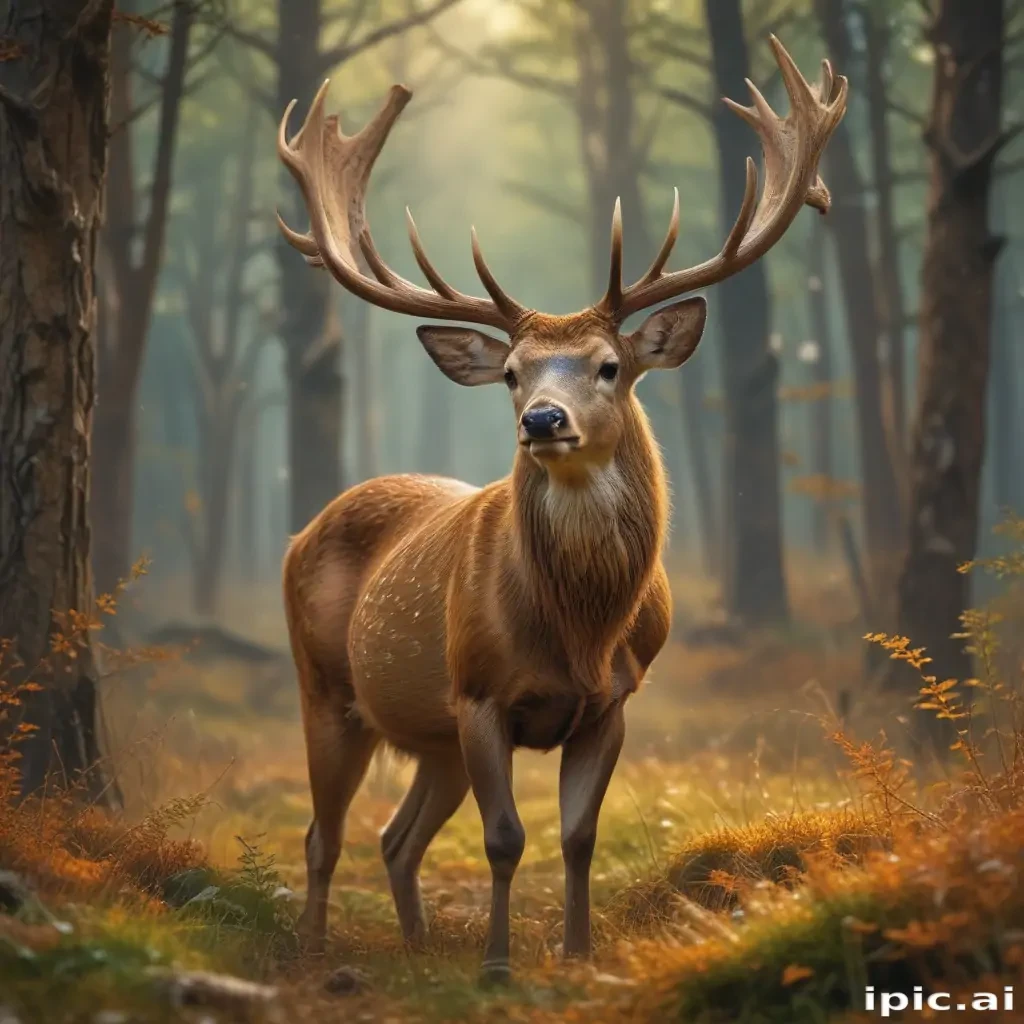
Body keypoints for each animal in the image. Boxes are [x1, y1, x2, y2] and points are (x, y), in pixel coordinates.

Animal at [276, 36, 847, 983]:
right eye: (512, 374)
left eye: (609, 365)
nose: (544, 420)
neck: (579, 628)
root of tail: (298, 533)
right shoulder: (478, 692)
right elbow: (507, 840)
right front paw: (498, 965)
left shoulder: (612, 700)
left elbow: (578, 836)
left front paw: (577, 954)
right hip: (325, 685)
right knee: (324, 836)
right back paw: (316, 953)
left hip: (429, 734)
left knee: (396, 837)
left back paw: (416, 944)